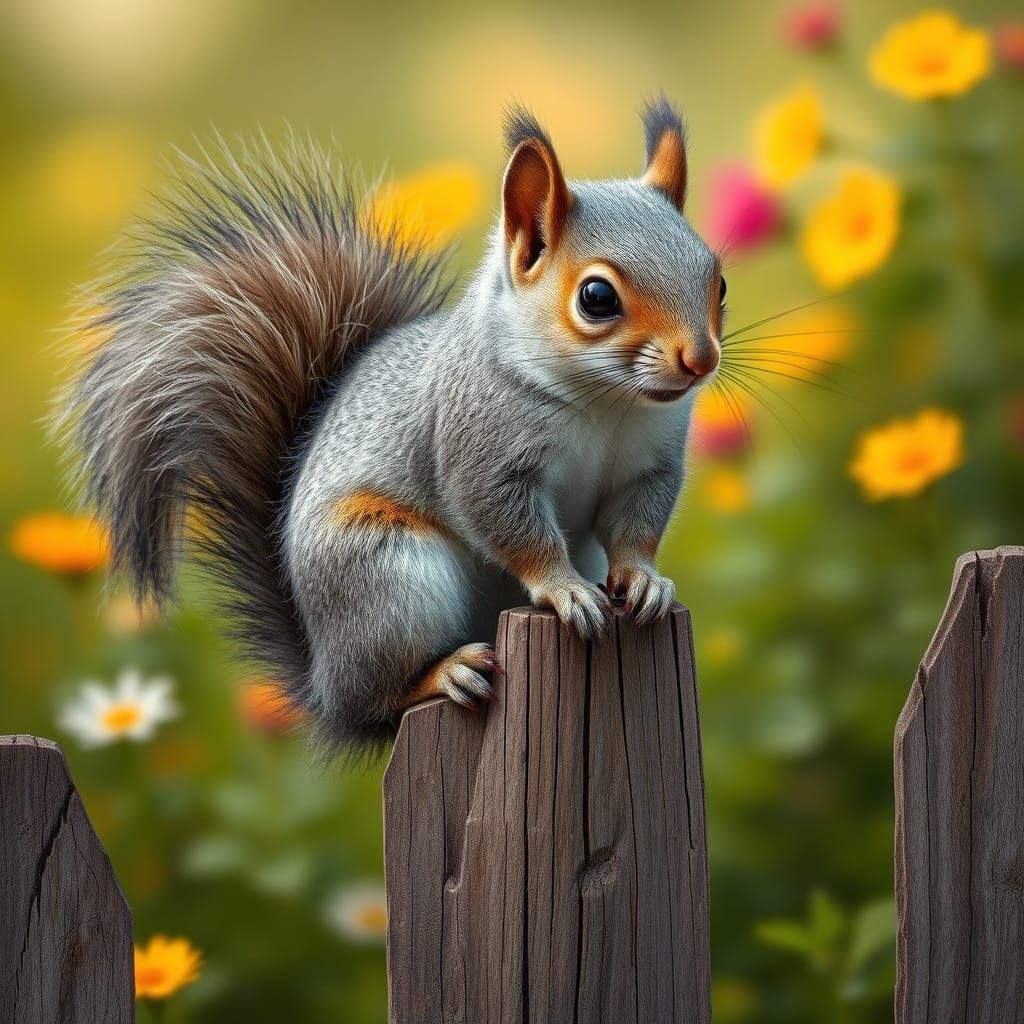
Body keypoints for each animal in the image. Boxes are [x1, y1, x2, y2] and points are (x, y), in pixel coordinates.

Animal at [59, 99, 724, 753]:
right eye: (596, 298)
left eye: (717, 281)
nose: (701, 360)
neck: (611, 404)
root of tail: (323, 681)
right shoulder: (478, 450)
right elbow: (512, 527)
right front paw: (564, 588)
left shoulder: (650, 465)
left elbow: (638, 523)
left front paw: (643, 580)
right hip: (387, 580)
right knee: (378, 696)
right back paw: (445, 673)